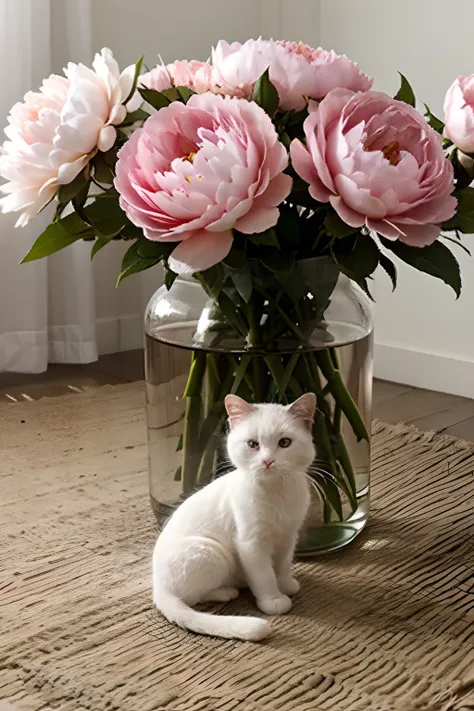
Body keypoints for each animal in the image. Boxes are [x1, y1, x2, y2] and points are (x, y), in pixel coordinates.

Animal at [152, 392, 314, 644]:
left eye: (285, 443)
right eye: (253, 444)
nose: (268, 461)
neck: (277, 494)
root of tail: (157, 587)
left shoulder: (289, 537)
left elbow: (282, 565)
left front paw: (285, 583)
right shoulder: (251, 544)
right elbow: (265, 576)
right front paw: (273, 600)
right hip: (211, 552)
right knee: (191, 598)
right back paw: (227, 591)